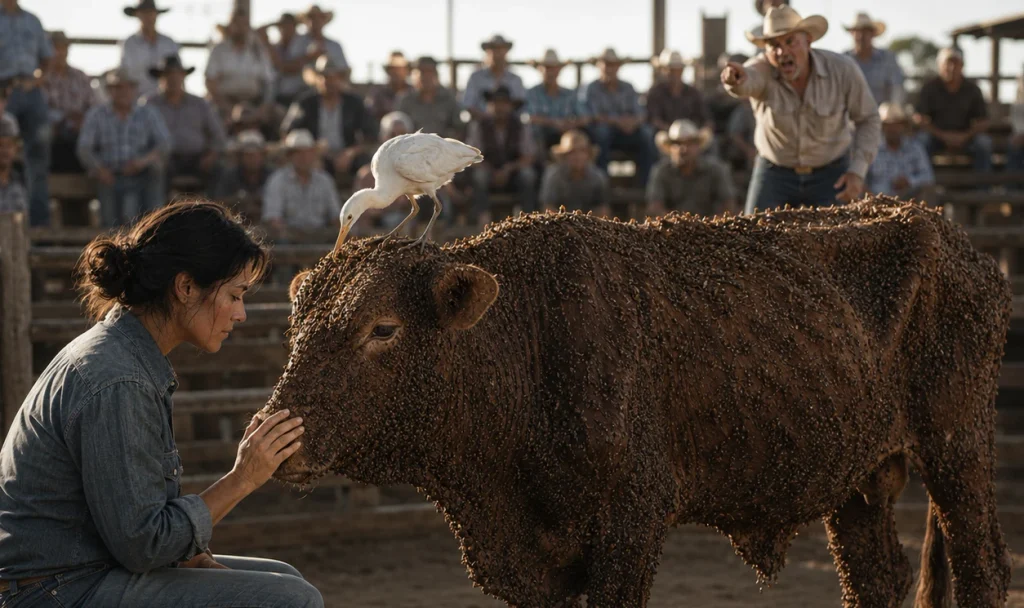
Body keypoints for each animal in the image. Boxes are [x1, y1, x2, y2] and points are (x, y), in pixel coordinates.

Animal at [261, 197, 1012, 607]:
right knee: (876, 579)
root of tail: (952, 237)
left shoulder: (632, 518)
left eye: (381, 329)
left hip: (958, 449)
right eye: (296, 326)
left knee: (983, 569)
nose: (276, 433)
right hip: (858, 477)